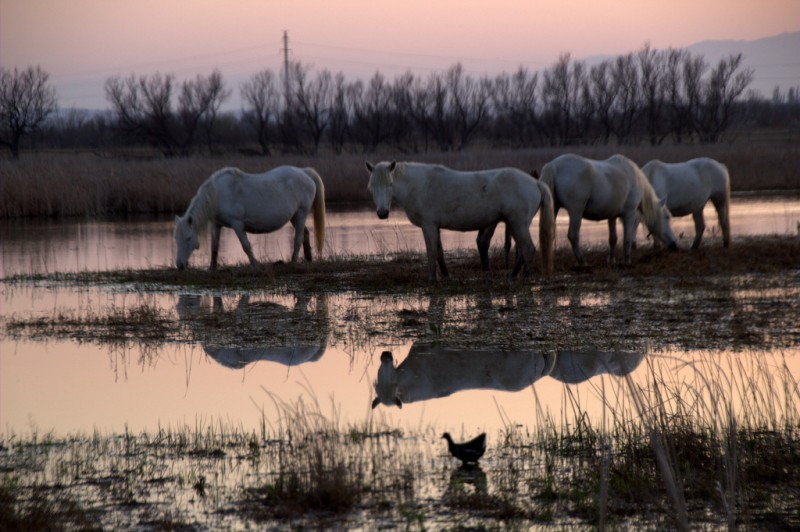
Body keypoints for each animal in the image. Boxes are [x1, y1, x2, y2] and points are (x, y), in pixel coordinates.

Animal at [174, 166, 324, 270]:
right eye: (176, 239)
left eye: (188, 238)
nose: (180, 265)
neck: (218, 194)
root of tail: (305, 172)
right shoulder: (216, 224)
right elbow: (214, 246)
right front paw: (212, 267)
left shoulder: (237, 225)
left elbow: (246, 246)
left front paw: (256, 264)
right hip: (294, 217)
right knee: (305, 233)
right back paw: (308, 259)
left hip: (301, 213)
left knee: (298, 238)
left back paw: (293, 262)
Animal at [366, 160, 552, 280]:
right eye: (372, 186)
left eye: (390, 184)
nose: (382, 213)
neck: (419, 185)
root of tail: (536, 183)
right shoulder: (435, 227)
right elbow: (439, 252)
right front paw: (446, 275)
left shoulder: (428, 226)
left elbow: (431, 252)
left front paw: (432, 278)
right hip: (515, 224)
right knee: (521, 249)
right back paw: (514, 275)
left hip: (518, 223)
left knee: (528, 248)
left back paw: (524, 277)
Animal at [536, 153, 676, 264]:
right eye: (667, 217)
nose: (674, 244)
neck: (633, 177)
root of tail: (553, 166)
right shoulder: (629, 214)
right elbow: (627, 239)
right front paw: (627, 260)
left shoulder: (612, 216)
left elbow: (613, 239)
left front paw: (611, 260)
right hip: (576, 212)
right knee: (573, 235)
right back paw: (582, 261)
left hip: (554, 208)